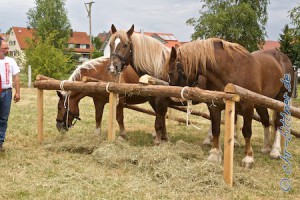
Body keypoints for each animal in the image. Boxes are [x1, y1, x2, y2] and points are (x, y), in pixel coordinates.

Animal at [168, 38, 294, 167]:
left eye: (170, 73)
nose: (173, 97)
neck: (232, 70)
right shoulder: (214, 106)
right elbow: (216, 128)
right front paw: (215, 154)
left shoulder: (248, 106)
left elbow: (247, 131)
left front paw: (248, 158)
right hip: (261, 102)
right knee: (265, 120)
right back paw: (266, 147)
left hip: (281, 100)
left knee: (278, 123)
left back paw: (275, 150)